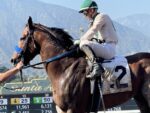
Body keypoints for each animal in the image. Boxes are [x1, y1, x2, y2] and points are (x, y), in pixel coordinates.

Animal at [11, 17, 150, 113]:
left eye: (22, 37)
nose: (13, 59)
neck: (64, 69)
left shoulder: (74, 108)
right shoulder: (61, 109)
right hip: (140, 98)